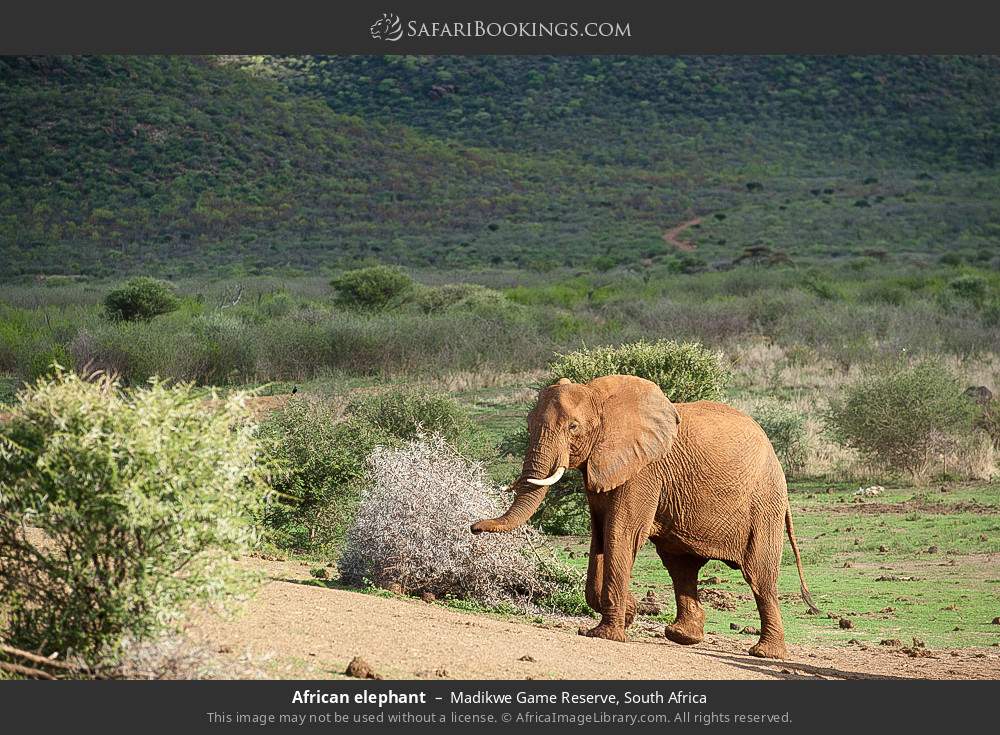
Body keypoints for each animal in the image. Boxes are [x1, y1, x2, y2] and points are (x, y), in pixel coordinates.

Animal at [471, 374, 817, 660]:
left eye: (573, 428)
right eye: (529, 425)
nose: (473, 527)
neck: (600, 397)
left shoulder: (644, 470)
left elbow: (620, 533)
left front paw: (605, 633)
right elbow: (600, 534)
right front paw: (629, 612)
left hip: (765, 503)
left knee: (758, 575)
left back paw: (764, 653)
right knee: (681, 566)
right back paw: (682, 636)